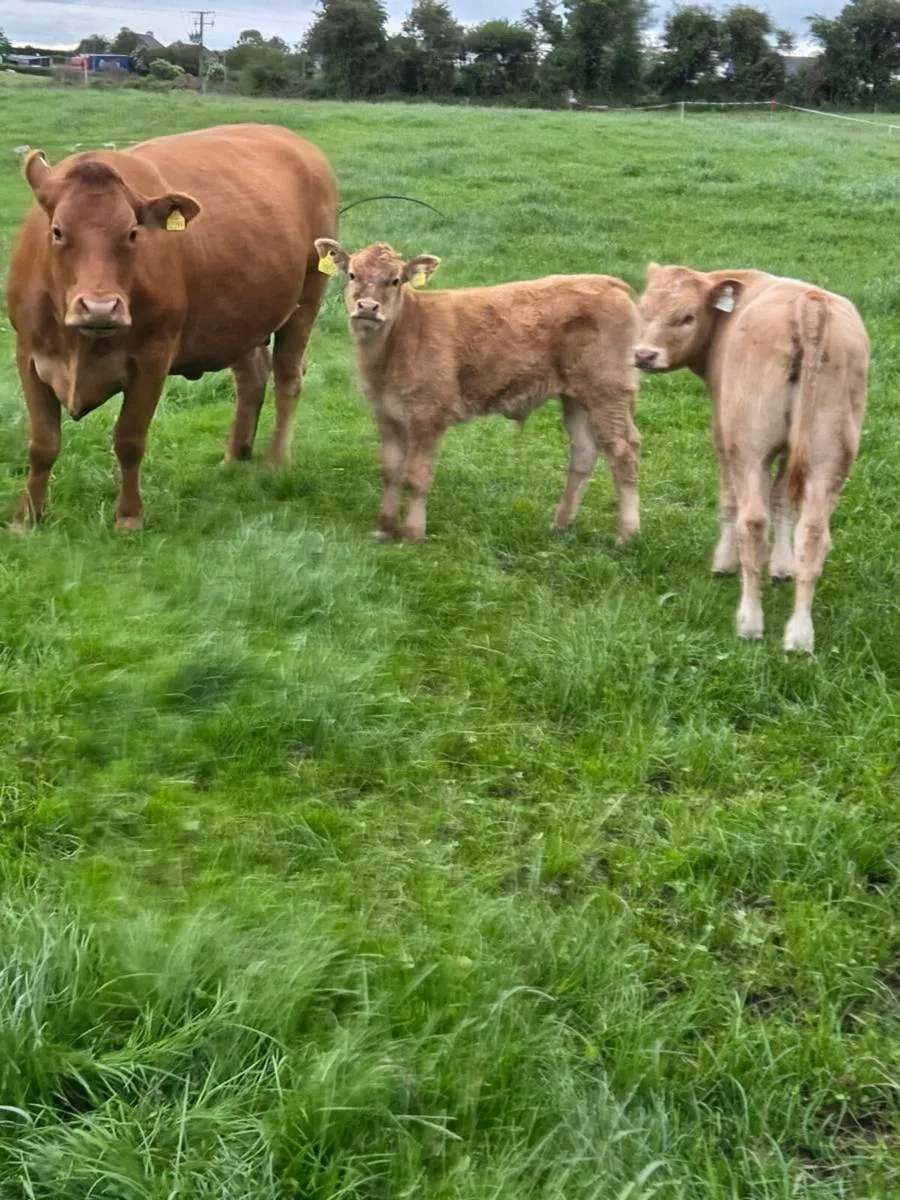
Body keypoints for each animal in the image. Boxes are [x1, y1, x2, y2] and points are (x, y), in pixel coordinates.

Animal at [6, 123, 338, 530]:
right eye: (56, 231)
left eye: (133, 233)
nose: (100, 308)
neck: (81, 346)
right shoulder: (29, 355)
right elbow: (43, 443)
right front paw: (27, 517)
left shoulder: (153, 358)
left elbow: (129, 439)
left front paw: (128, 517)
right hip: (236, 320)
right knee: (252, 378)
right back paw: (234, 457)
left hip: (308, 295)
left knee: (288, 376)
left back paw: (275, 461)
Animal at [313, 239, 642, 545]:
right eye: (352, 274)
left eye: (395, 280)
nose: (368, 308)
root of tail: (611, 283)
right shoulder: (387, 413)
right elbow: (390, 472)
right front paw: (383, 529)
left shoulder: (429, 416)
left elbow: (416, 477)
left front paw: (412, 535)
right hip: (576, 396)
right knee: (585, 451)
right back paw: (560, 525)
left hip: (607, 391)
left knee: (624, 452)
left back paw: (626, 535)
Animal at [634, 264, 869, 653]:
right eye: (642, 309)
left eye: (687, 316)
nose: (643, 355)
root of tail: (810, 303)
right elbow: (784, 501)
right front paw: (783, 567)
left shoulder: (724, 435)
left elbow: (730, 501)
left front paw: (724, 562)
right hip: (829, 457)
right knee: (814, 532)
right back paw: (799, 635)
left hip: (750, 448)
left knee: (753, 522)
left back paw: (749, 622)